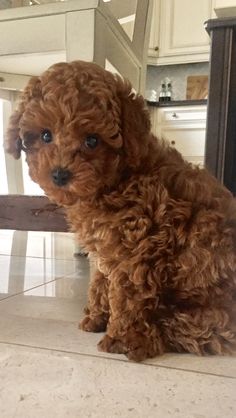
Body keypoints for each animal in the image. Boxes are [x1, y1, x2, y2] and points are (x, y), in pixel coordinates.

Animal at [5, 60, 236, 360]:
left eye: (92, 141)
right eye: (46, 135)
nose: (59, 174)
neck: (118, 178)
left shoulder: (141, 249)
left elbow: (128, 296)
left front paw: (120, 336)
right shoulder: (108, 249)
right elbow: (100, 282)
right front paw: (96, 317)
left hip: (209, 315)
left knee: (191, 332)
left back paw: (145, 340)